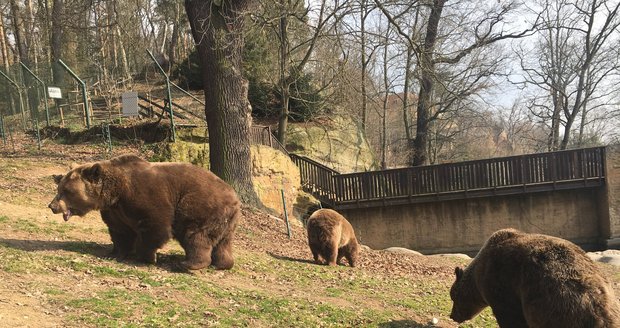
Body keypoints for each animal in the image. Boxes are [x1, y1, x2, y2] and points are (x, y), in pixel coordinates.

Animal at [47, 155, 241, 270]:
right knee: (222, 242)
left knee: (195, 235)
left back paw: (190, 264)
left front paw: (146, 257)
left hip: (199, 206)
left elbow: (155, 227)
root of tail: (234, 197)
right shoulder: (115, 211)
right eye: (59, 188)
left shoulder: (147, 197)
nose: (52, 206)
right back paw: (222, 263)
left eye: (66, 191)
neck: (116, 193)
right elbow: (120, 232)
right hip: (227, 222)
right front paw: (116, 252)